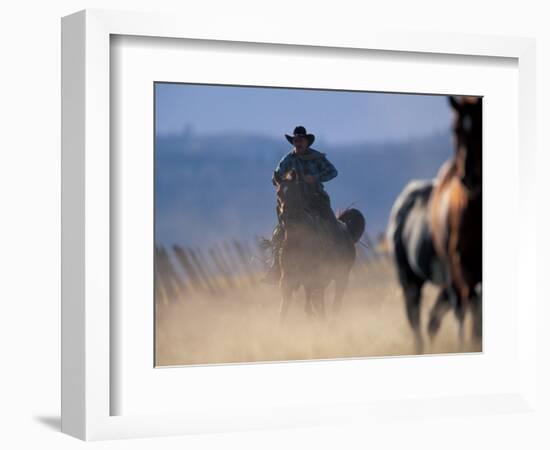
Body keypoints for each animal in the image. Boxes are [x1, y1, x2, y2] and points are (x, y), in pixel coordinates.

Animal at [274, 168, 366, 320]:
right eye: (279, 192)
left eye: (296, 192)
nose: (287, 217)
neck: (298, 241)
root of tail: (346, 229)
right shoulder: (287, 279)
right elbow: (284, 307)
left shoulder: (314, 278)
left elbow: (311, 304)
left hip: (341, 276)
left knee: (336, 303)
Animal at [388, 96, 484, 354]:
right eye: (455, 129)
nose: (470, 178)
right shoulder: (460, 269)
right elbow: (468, 312)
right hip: (411, 280)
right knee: (417, 320)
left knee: (434, 320)